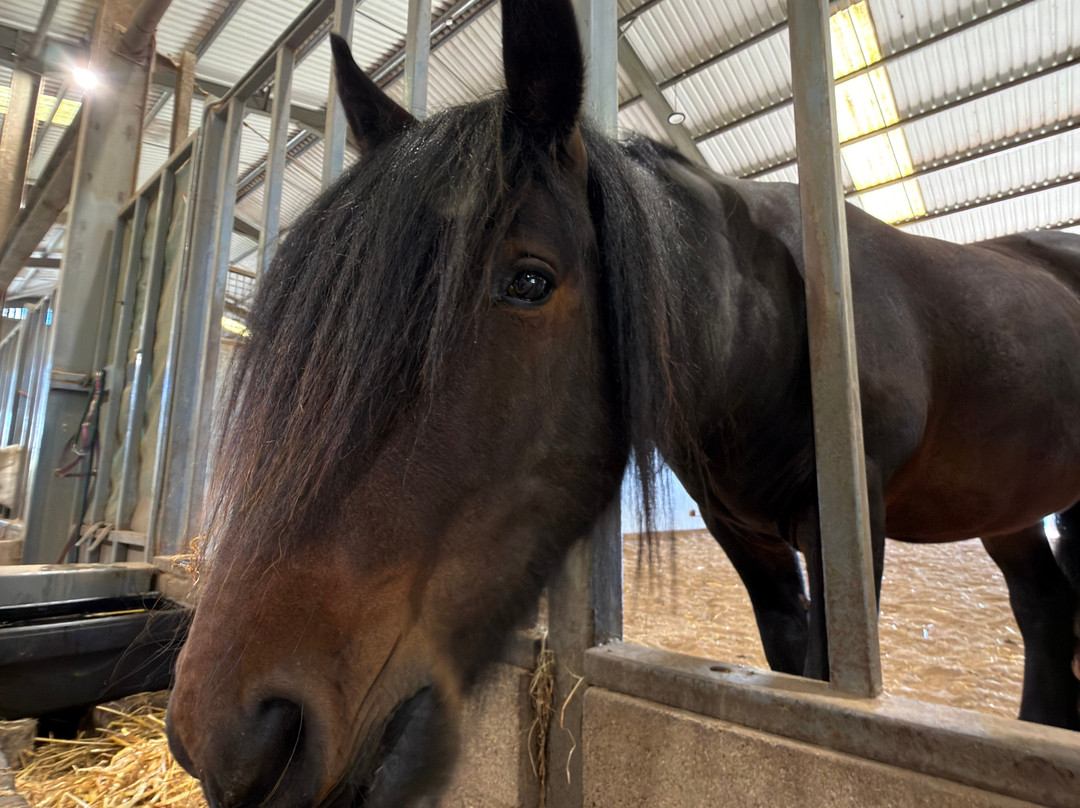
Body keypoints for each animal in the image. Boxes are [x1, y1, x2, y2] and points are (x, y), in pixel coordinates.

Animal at [166, 0, 1080, 805]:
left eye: (529, 282)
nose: (233, 736)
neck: (764, 330)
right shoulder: (750, 543)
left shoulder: (845, 522)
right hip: (1006, 511)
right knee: (1043, 609)